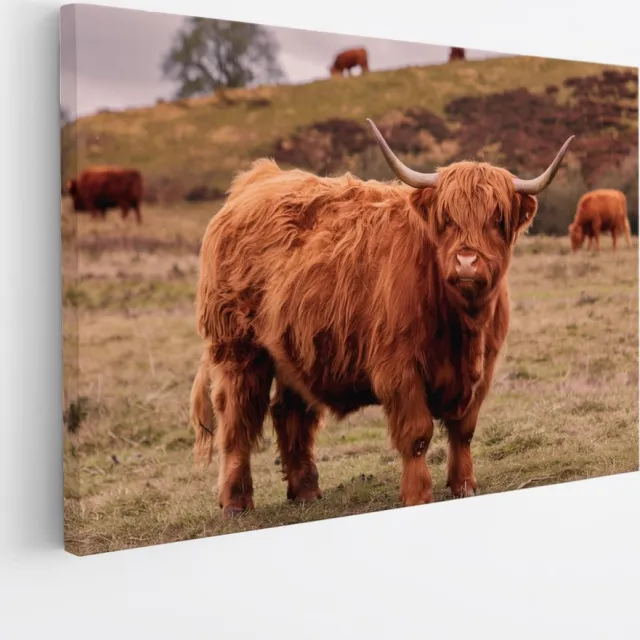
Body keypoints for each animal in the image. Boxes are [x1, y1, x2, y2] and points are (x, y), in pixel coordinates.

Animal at [189, 117, 574, 518]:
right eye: (446, 219)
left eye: (497, 219)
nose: (467, 262)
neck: (463, 325)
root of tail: (257, 179)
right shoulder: (399, 369)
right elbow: (417, 434)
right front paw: (418, 495)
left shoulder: (483, 370)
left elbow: (463, 431)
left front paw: (464, 486)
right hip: (236, 349)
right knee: (236, 420)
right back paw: (236, 502)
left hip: (293, 348)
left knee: (290, 412)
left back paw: (306, 490)